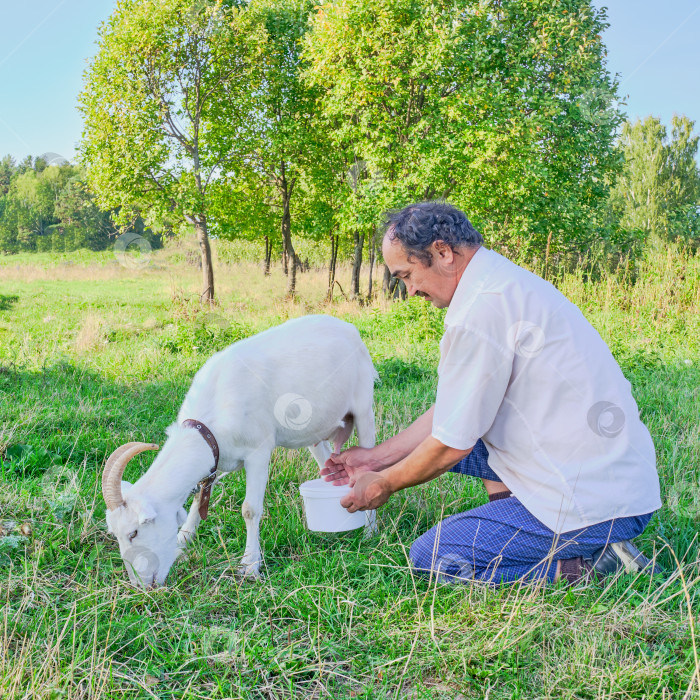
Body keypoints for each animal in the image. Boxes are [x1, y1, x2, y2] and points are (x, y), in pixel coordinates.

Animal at [101, 316, 374, 584]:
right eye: (116, 534)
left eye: (134, 532)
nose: (140, 584)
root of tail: (350, 328)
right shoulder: (214, 458)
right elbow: (198, 502)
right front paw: (182, 541)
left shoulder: (258, 452)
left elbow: (250, 510)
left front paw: (250, 565)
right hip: (315, 431)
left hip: (364, 407)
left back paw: (370, 531)